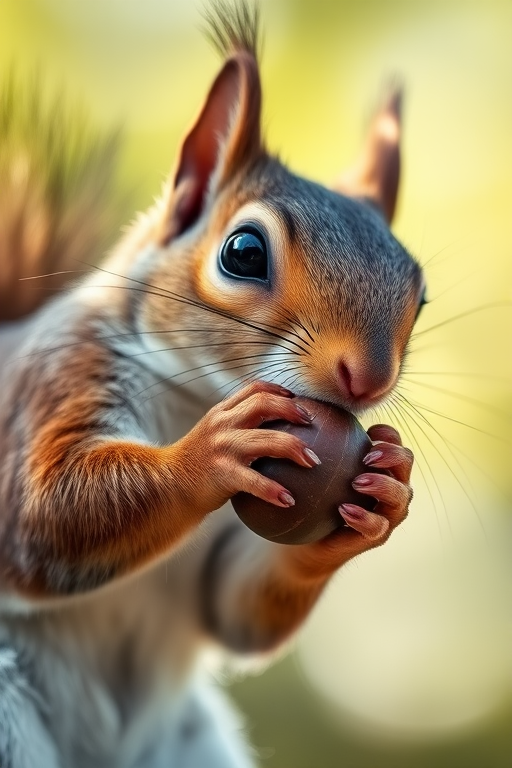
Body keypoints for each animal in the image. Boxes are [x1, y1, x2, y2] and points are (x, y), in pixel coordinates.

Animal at [0, 3, 425, 767]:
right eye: (244, 252)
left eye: (422, 297)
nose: (369, 378)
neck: (196, 396)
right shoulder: (51, 382)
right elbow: (42, 512)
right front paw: (212, 453)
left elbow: (233, 607)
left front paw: (387, 488)